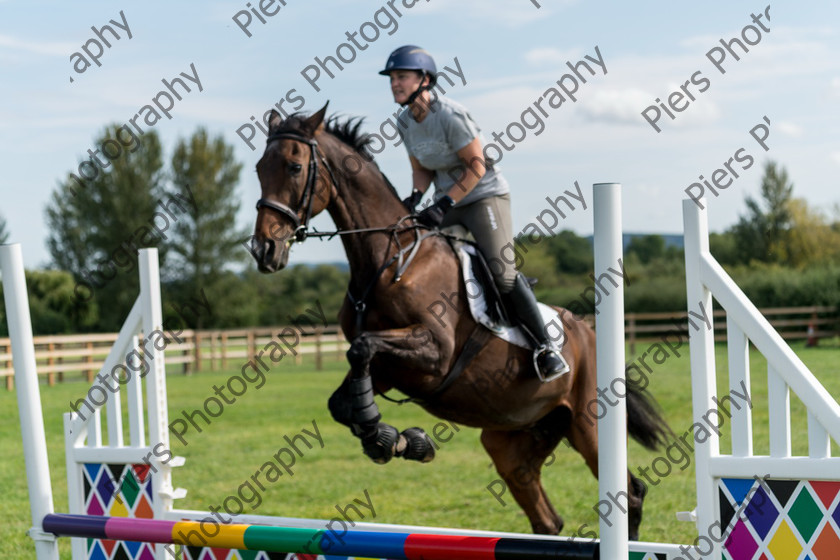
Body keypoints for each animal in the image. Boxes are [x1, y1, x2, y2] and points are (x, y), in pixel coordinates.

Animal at [249, 104, 668, 540]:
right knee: (546, 517)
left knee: (630, 493)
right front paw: (397, 441)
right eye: (260, 168)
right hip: (514, 437)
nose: (264, 249)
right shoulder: (388, 370)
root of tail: (590, 333)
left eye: (295, 166)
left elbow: (361, 350)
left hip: (589, 426)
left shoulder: (434, 353)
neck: (389, 259)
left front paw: (397, 440)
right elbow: (342, 398)